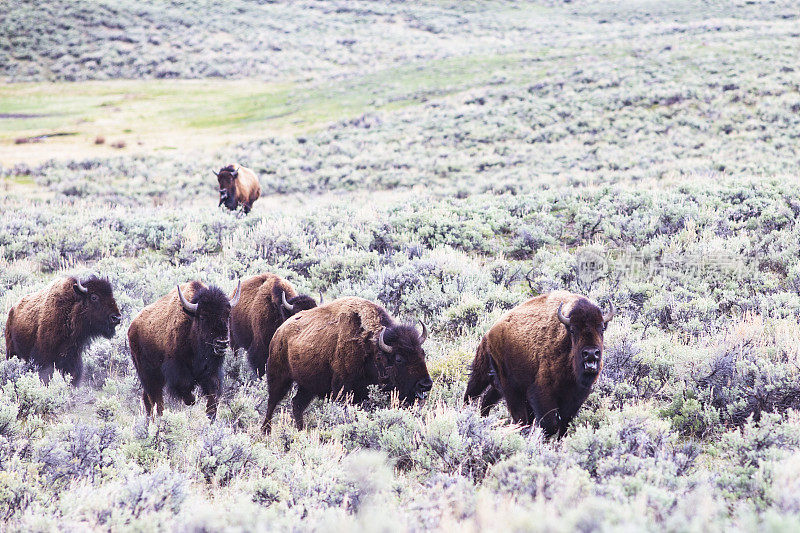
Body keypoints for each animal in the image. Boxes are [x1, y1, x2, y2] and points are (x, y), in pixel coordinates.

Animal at [126, 278, 241, 420]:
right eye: (203, 317)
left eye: (228, 315)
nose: (222, 343)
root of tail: (132, 326)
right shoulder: (176, 369)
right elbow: (185, 388)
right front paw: (192, 400)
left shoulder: (212, 371)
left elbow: (213, 392)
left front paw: (210, 415)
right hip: (147, 373)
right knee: (155, 398)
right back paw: (158, 417)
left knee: (148, 398)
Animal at [264, 296, 432, 432]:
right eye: (398, 358)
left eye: (422, 353)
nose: (425, 384)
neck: (371, 347)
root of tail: (280, 332)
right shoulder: (342, 390)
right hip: (279, 377)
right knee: (272, 402)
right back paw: (266, 430)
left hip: (308, 386)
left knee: (297, 404)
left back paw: (301, 430)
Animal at [462, 290, 612, 436]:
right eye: (573, 330)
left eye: (602, 328)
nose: (591, 353)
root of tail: (489, 333)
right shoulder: (542, 391)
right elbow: (550, 424)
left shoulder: (576, 395)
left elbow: (564, 424)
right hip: (490, 376)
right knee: (473, 394)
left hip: (502, 385)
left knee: (488, 400)